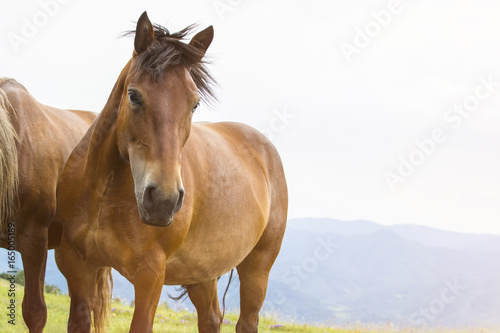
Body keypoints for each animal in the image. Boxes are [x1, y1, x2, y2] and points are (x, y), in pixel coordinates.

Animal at [54, 11, 288, 330]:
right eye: (134, 95)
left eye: (194, 103)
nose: (163, 200)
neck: (104, 196)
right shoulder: (77, 267)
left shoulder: (150, 276)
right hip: (202, 273)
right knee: (211, 318)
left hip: (257, 268)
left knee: (247, 321)